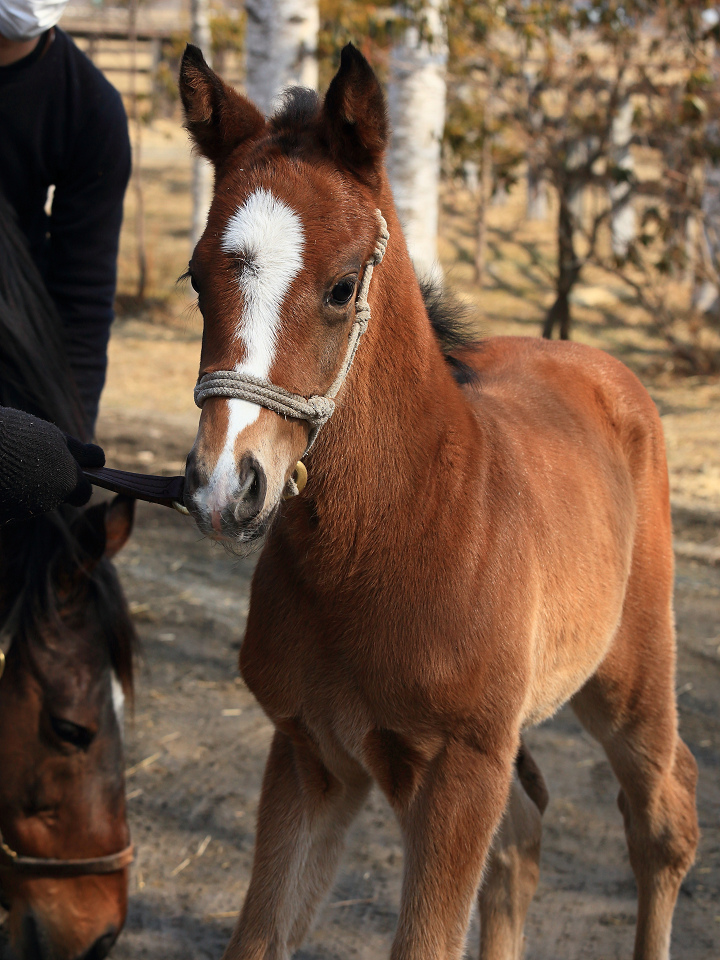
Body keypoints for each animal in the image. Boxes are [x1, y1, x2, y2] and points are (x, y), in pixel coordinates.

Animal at [179, 43, 696, 960]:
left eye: (342, 287)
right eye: (197, 279)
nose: (225, 487)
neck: (394, 531)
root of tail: (603, 368)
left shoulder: (461, 768)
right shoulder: (312, 751)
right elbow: (260, 937)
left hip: (629, 676)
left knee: (664, 819)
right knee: (524, 838)